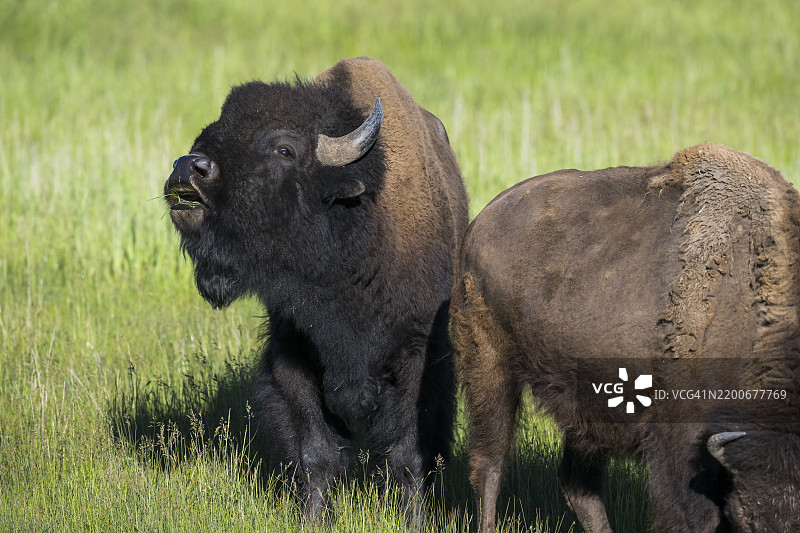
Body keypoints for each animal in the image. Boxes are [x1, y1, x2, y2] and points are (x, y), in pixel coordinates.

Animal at [164, 57, 468, 522]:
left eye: (285, 150)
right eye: (207, 133)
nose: (189, 167)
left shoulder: (416, 357)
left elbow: (407, 454)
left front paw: (414, 520)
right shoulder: (296, 355)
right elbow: (315, 453)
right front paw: (313, 517)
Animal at [451, 144, 800, 532]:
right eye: (744, 519)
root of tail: (481, 222)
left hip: (584, 402)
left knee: (578, 483)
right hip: (490, 365)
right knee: (490, 463)